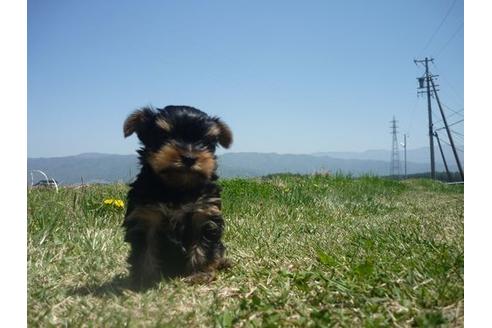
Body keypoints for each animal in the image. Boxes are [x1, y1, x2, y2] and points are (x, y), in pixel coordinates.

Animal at [122, 105, 232, 288]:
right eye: (164, 136)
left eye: (205, 142)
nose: (189, 157)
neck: (178, 188)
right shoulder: (146, 214)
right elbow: (145, 250)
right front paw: (143, 279)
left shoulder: (204, 212)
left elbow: (203, 246)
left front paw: (200, 274)